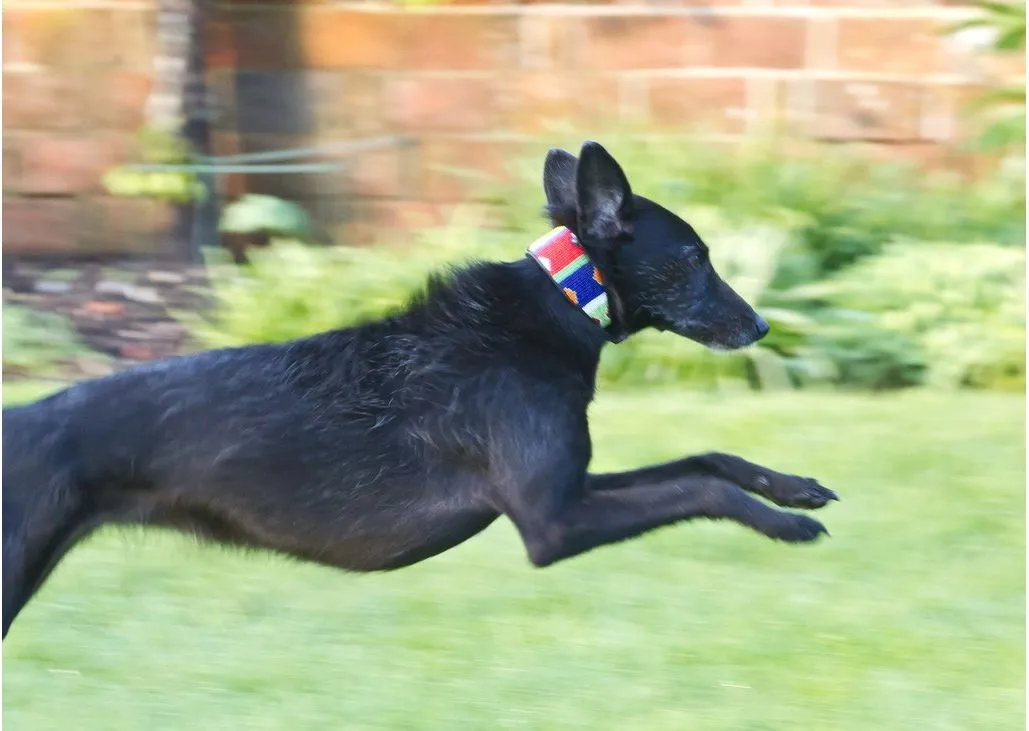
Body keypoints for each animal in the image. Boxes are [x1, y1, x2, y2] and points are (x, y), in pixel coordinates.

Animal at [2, 143, 835, 642]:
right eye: (694, 257)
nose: (760, 325)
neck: (560, 304)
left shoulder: (568, 483)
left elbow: (705, 457)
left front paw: (793, 486)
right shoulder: (552, 522)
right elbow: (701, 486)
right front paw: (785, 524)